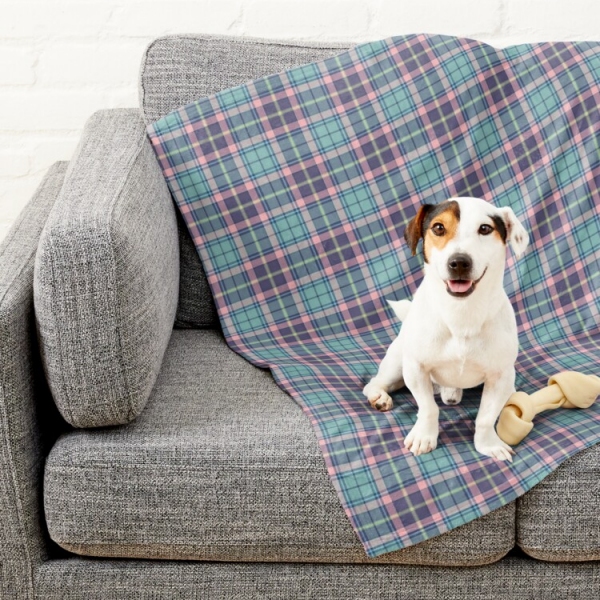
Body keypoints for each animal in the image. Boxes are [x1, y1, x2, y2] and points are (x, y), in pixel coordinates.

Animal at [364, 199, 528, 462]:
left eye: (485, 228)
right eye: (438, 228)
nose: (459, 262)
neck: (461, 315)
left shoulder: (500, 376)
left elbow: (485, 417)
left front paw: (488, 444)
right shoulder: (416, 368)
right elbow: (428, 408)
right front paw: (424, 437)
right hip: (397, 364)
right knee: (374, 382)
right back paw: (378, 397)